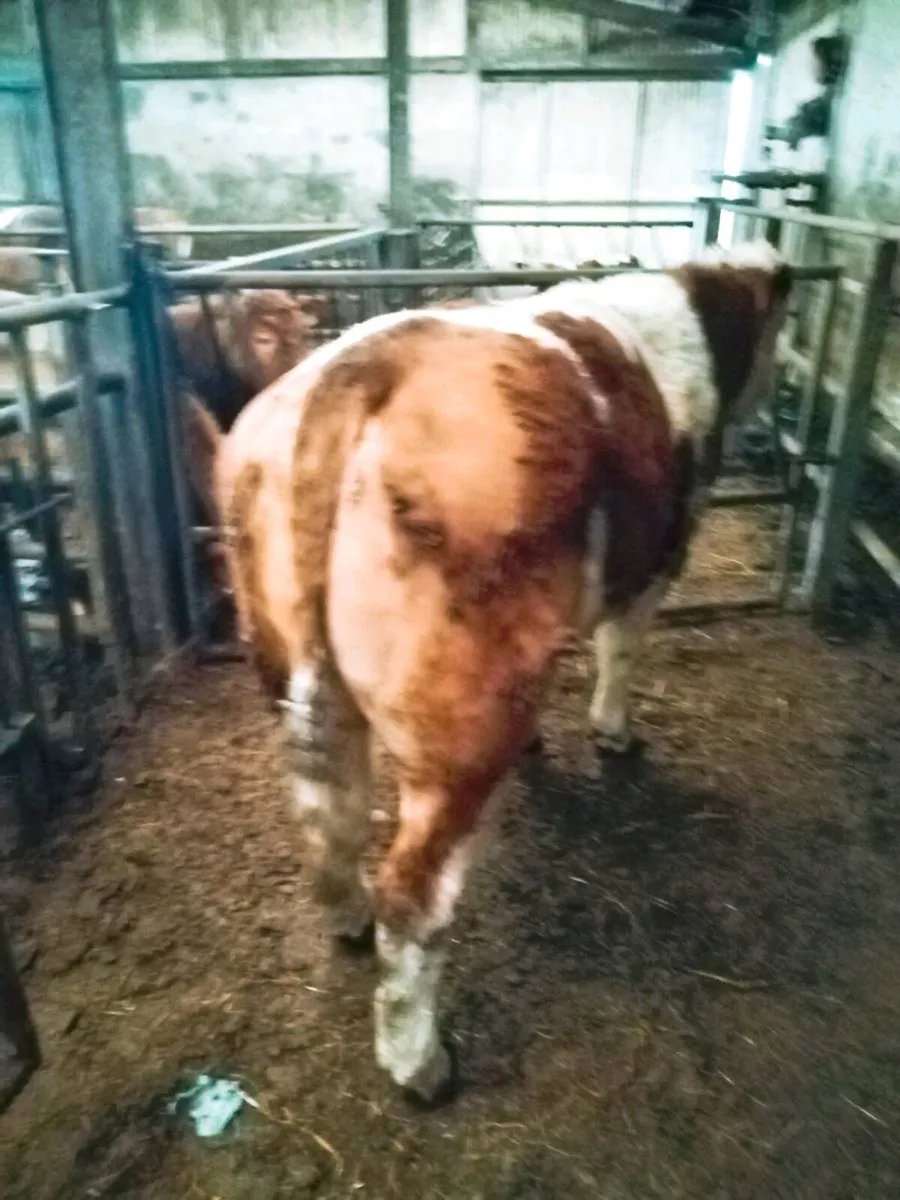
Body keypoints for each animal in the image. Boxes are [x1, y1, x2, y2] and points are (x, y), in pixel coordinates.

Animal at [211, 242, 791, 1105]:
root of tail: (358, 370)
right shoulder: (655, 560)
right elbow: (620, 652)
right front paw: (615, 737)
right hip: (459, 715)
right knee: (414, 894)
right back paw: (420, 1064)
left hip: (294, 665)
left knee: (328, 818)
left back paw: (346, 920)